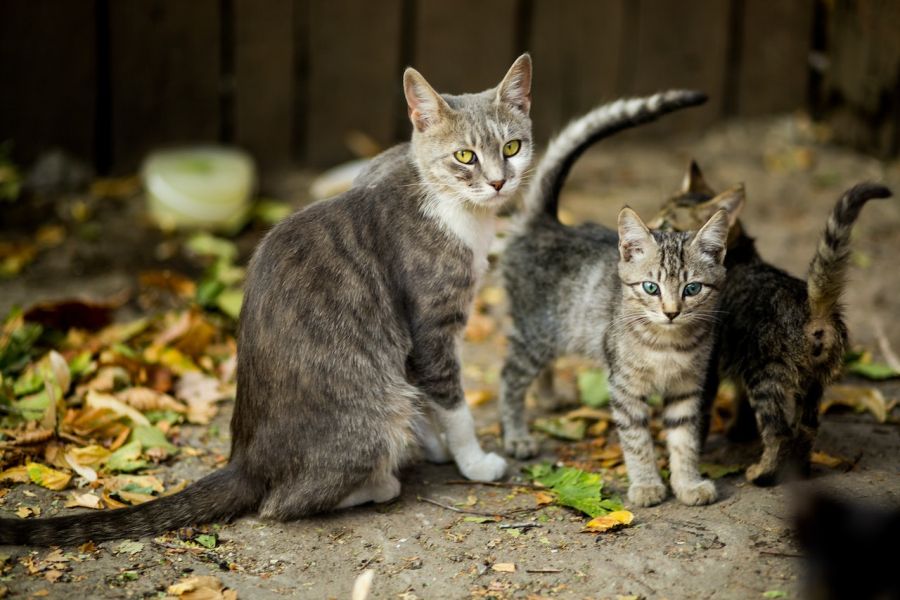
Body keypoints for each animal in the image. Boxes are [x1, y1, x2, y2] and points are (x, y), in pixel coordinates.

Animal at [0, 54, 536, 548]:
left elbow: (426, 394)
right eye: (464, 156)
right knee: (282, 503)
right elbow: (451, 399)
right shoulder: (430, 324)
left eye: (512, 147)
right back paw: (379, 483)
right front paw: (473, 460)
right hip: (370, 417)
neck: (450, 205)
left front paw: (436, 442)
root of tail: (246, 461)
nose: (498, 182)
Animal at [500, 91, 740, 506]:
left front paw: (688, 483)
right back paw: (516, 435)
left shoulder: (687, 389)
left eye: (692, 289)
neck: (667, 344)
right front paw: (646, 484)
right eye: (651, 287)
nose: (671, 312)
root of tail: (547, 223)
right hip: (535, 333)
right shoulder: (624, 387)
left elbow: (685, 440)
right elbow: (637, 440)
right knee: (509, 377)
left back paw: (548, 398)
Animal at [648, 163, 892, 482]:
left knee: (779, 431)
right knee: (806, 428)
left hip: (765, 375)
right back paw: (800, 470)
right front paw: (738, 431)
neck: (739, 256)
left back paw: (762, 473)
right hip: (812, 382)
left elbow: (697, 420)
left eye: (666, 223)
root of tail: (813, 306)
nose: (648, 225)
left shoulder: (708, 368)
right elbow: (739, 403)